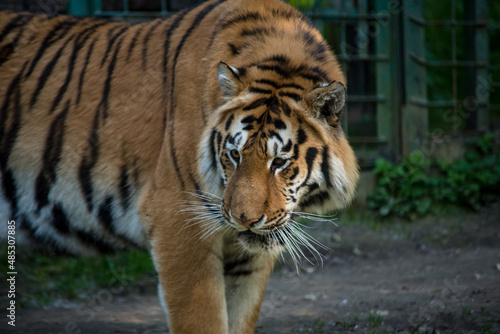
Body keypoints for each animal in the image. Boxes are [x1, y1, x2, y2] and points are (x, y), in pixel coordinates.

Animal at [0, 0, 360, 332]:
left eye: (280, 162)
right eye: (234, 155)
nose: (243, 219)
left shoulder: (250, 258)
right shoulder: (180, 226)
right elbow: (203, 320)